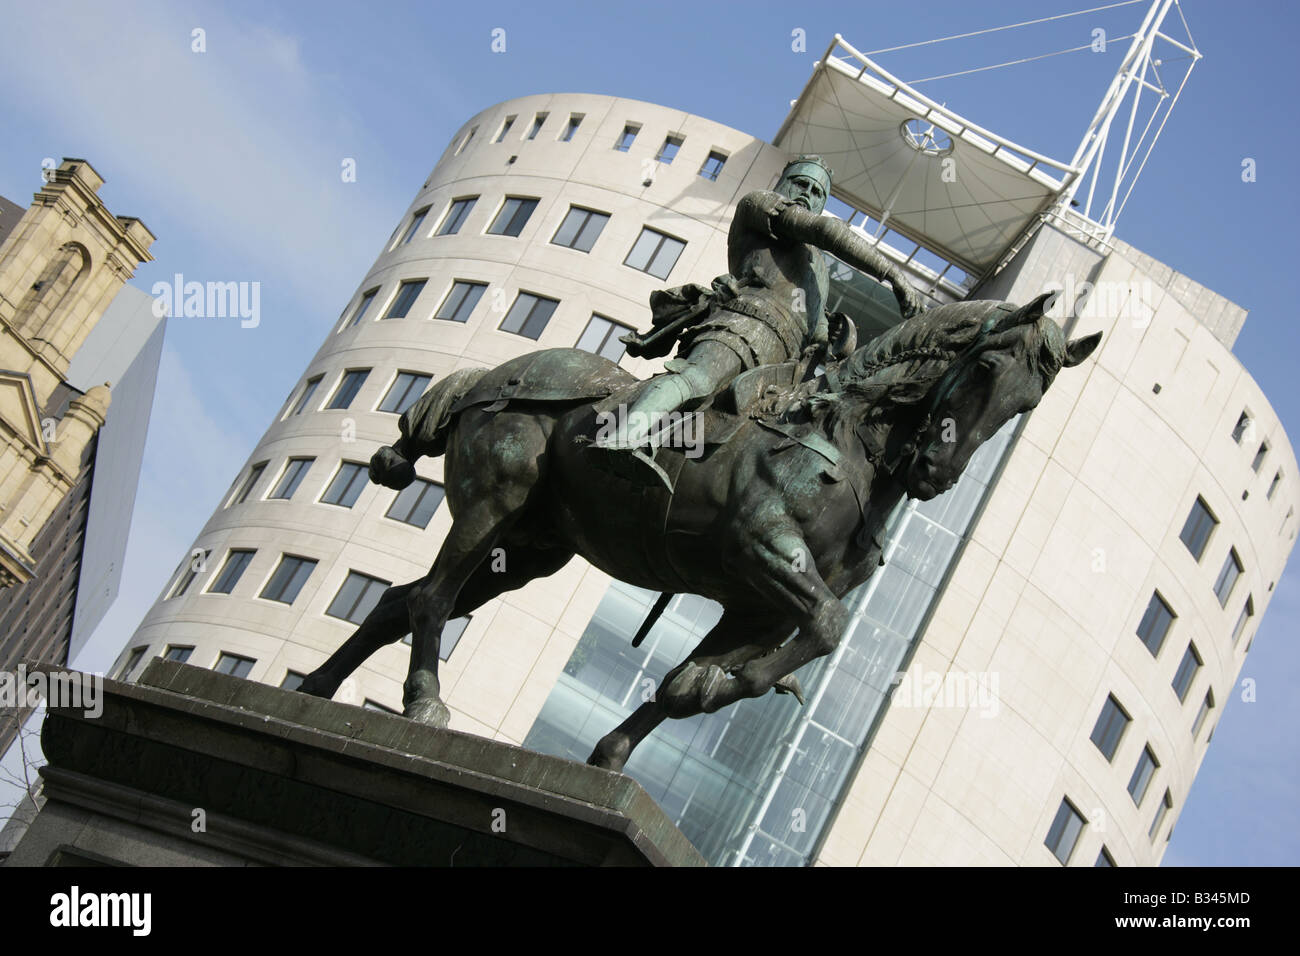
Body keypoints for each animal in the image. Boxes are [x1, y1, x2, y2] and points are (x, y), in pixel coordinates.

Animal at [301, 291, 1097, 770]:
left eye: (1027, 402)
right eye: (986, 366)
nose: (936, 472)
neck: (846, 437)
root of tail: (490, 377)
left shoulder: (758, 608)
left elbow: (686, 686)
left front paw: (625, 747)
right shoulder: (762, 551)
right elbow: (830, 625)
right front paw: (746, 681)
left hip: (526, 552)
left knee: (398, 600)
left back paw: (316, 687)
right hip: (494, 505)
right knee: (431, 600)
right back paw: (423, 704)